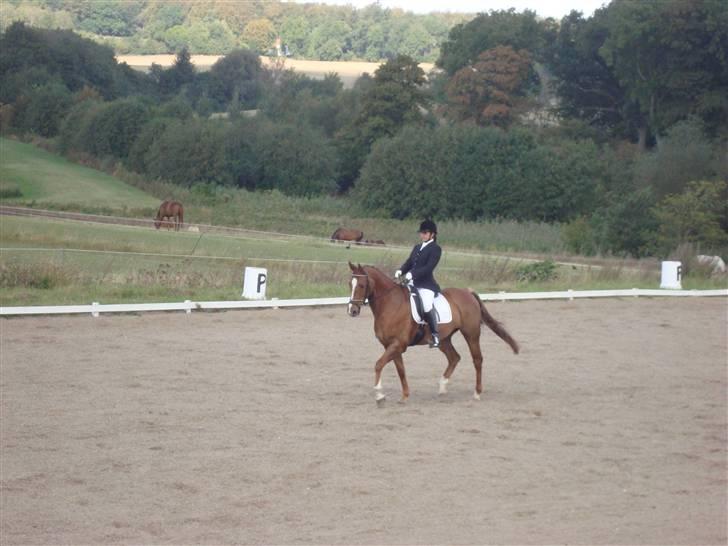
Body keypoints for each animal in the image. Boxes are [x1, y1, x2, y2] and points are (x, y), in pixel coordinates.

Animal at [346, 262, 516, 402]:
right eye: (350, 284)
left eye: (362, 285)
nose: (352, 311)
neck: (390, 304)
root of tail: (467, 292)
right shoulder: (391, 345)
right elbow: (400, 370)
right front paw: (405, 396)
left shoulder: (398, 344)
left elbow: (378, 364)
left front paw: (379, 395)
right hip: (444, 339)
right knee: (454, 358)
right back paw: (442, 387)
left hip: (471, 334)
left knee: (477, 360)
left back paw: (477, 393)